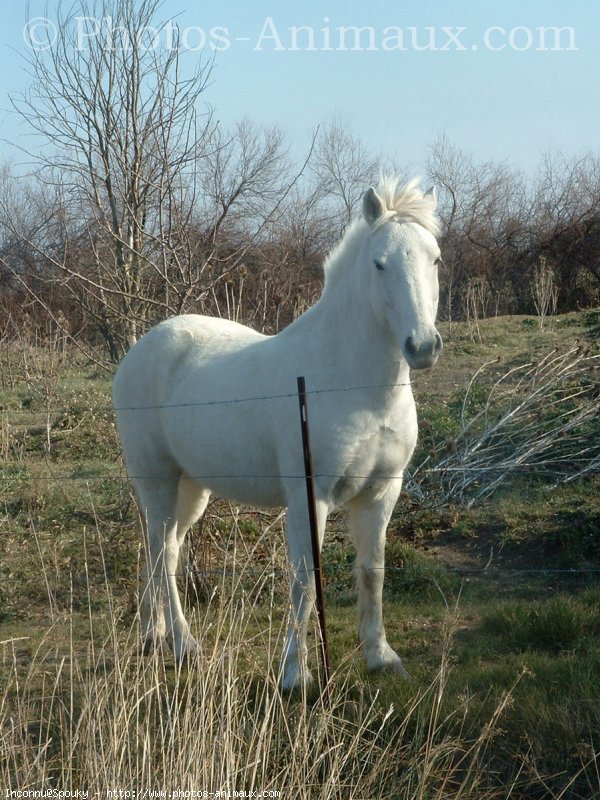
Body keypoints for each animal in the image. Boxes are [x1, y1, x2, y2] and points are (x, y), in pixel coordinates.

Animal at [113, 178, 440, 692]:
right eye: (379, 263)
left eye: (436, 259)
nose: (422, 346)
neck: (352, 384)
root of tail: (141, 348)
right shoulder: (311, 497)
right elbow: (304, 579)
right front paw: (295, 674)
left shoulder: (382, 492)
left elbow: (372, 570)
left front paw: (381, 656)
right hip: (157, 480)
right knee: (164, 555)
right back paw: (184, 645)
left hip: (191, 489)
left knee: (161, 550)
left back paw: (153, 636)